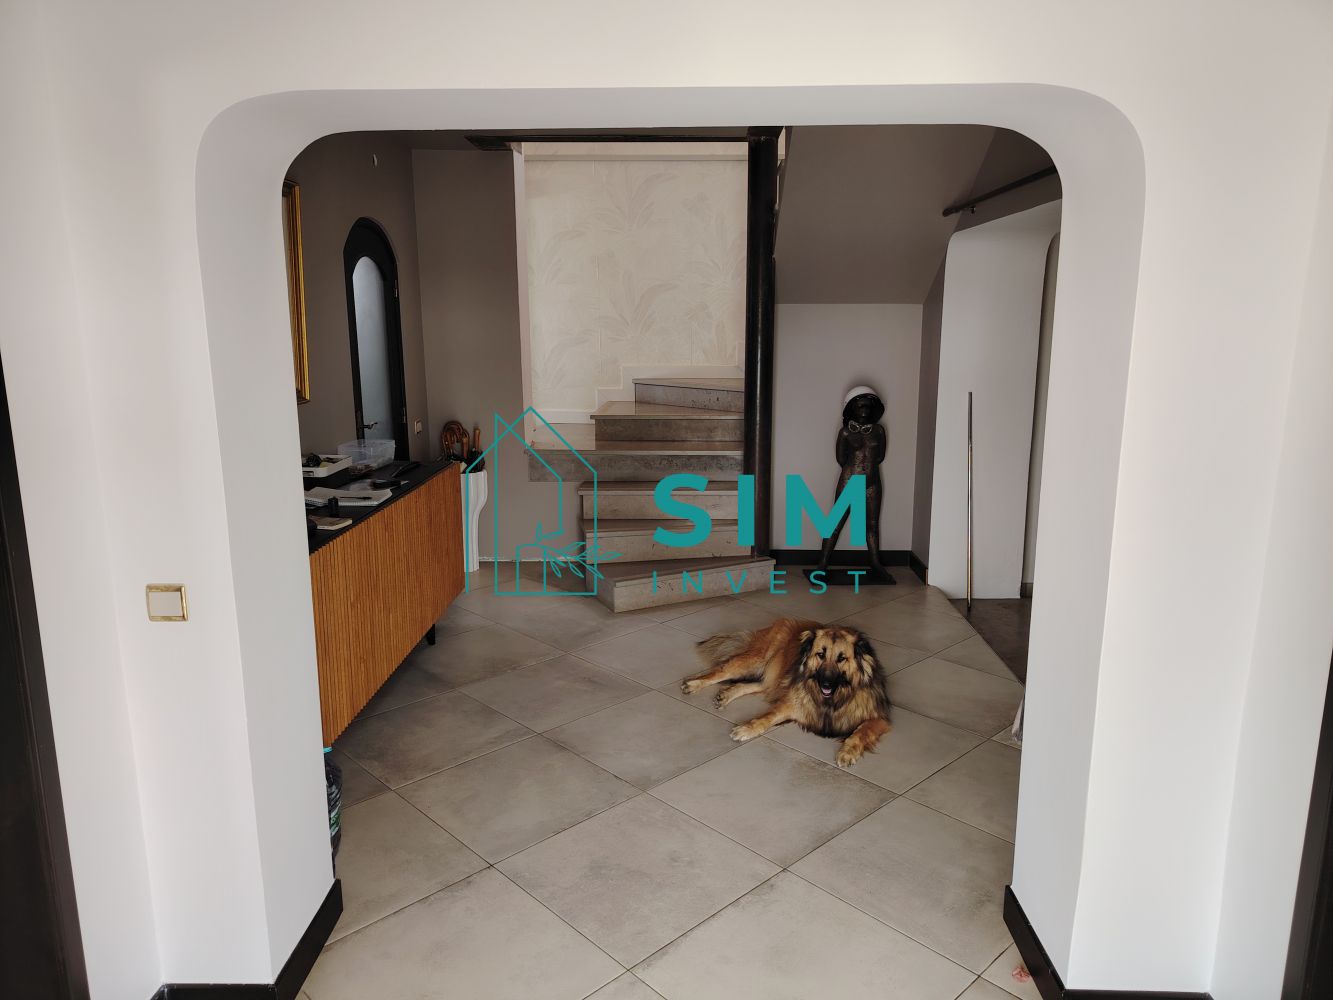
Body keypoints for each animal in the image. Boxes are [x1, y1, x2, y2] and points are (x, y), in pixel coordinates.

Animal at [681, 617, 892, 768]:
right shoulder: (792, 702)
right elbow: (766, 717)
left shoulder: (879, 719)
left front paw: (848, 752)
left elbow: (862, 731)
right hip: (756, 661)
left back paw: (725, 695)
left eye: (842, 658)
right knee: (721, 670)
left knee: (757, 684)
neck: (832, 699)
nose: (826, 683)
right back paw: (694, 683)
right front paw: (747, 728)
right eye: (820, 655)